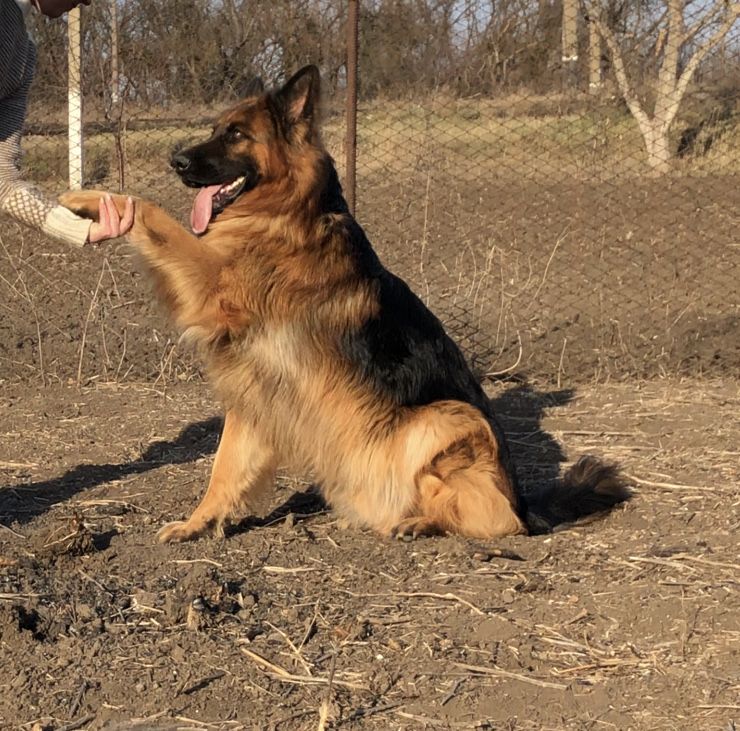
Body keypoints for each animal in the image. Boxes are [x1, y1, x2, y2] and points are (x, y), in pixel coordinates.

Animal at [62, 66, 632, 544]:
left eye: (237, 135)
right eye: (216, 129)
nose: (176, 161)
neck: (287, 212)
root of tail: (528, 503)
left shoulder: (212, 283)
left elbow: (151, 213)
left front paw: (92, 198)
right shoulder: (256, 395)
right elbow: (225, 468)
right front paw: (200, 523)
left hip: (445, 418)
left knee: (500, 521)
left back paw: (423, 522)